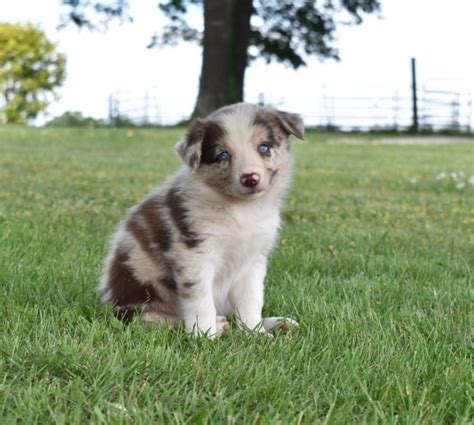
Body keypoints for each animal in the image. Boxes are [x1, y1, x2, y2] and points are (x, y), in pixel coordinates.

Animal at [99, 102, 304, 334]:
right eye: (223, 155)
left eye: (264, 147)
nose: (250, 179)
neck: (241, 210)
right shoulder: (194, 255)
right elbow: (201, 302)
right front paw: (204, 335)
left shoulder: (253, 260)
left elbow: (251, 301)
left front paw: (254, 333)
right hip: (140, 296)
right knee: (155, 319)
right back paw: (218, 324)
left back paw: (278, 322)